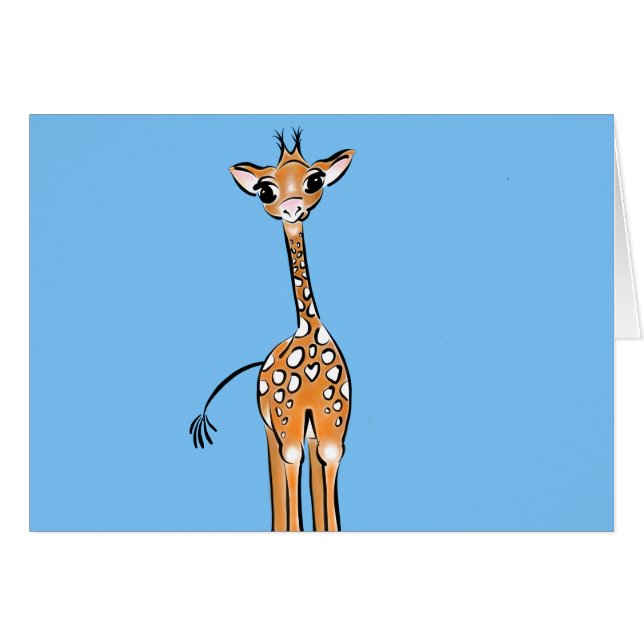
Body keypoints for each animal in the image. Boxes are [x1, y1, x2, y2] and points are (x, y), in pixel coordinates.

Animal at [189, 129, 355, 531]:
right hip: (272, 425)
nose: (293, 209)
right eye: (266, 191)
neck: (308, 331)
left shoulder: (333, 427)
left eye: (315, 180)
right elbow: (291, 476)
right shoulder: (287, 425)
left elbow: (327, 481)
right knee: (279, 474)